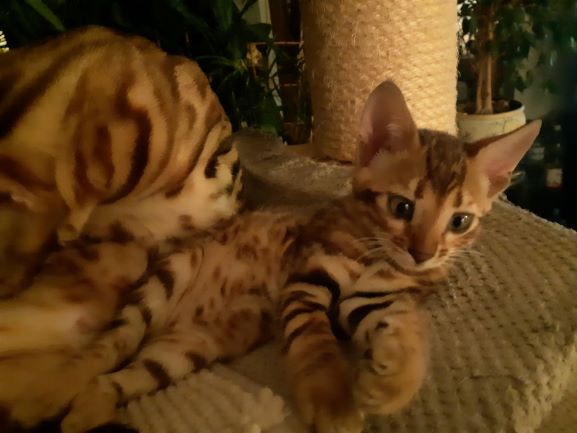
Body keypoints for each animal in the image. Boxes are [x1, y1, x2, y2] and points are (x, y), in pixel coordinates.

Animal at [0, 79, 540, 433]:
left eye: (460, 222)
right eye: (402, 207)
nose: (424, 254)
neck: (377, 257)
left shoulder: (375, 299)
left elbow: (409, 330)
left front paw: (392, 385)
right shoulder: (308, 276)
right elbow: (315, 342)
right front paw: (332, 405)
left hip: (192, 346)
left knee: (130, 373)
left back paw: (88, 409)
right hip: (164, 280)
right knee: (109, 345)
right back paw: (53, 393)